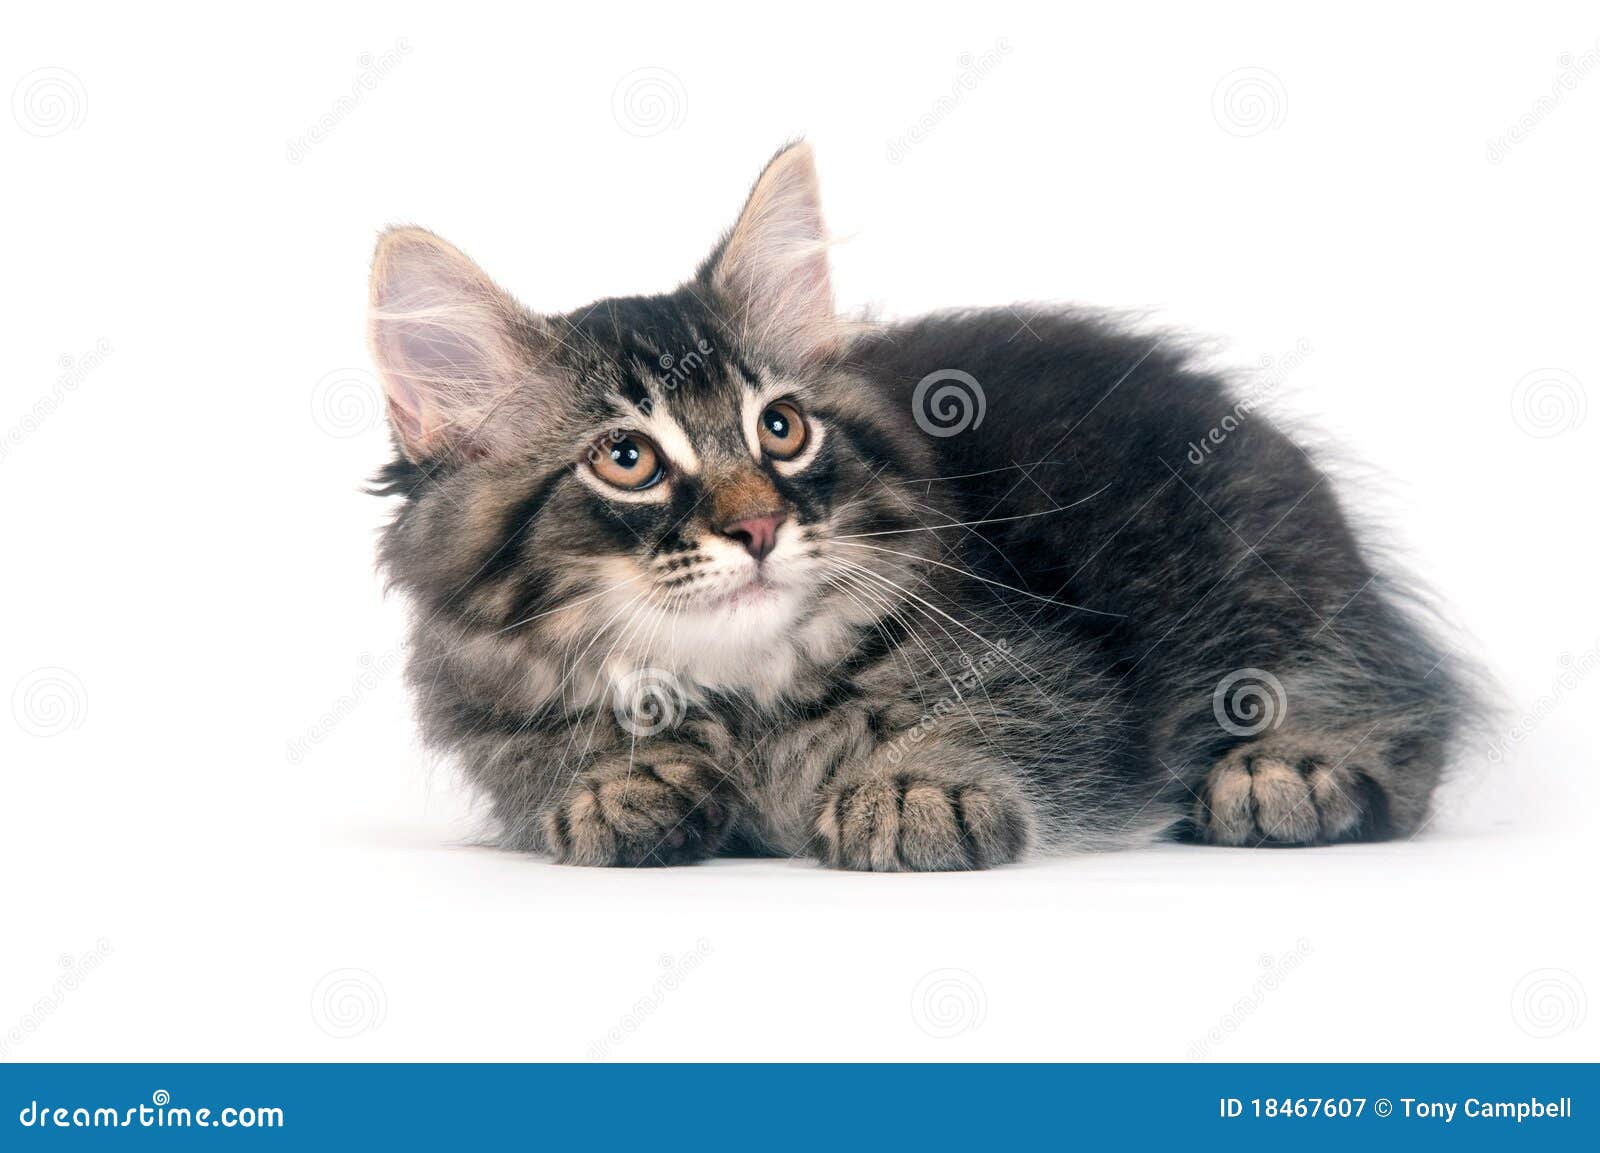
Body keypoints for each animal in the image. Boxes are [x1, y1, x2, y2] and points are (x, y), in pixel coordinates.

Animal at [368, 139, 1465, 869]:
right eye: (627, 458)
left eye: (781, 430)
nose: (758, 526)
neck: (745, 700)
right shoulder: (490, 714)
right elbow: (554, 762)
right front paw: (614, 783)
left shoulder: (1045, 672)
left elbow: (989, 721)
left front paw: (913, 785)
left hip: (1269, 569)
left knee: (1399, 704)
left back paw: (1291, 773)